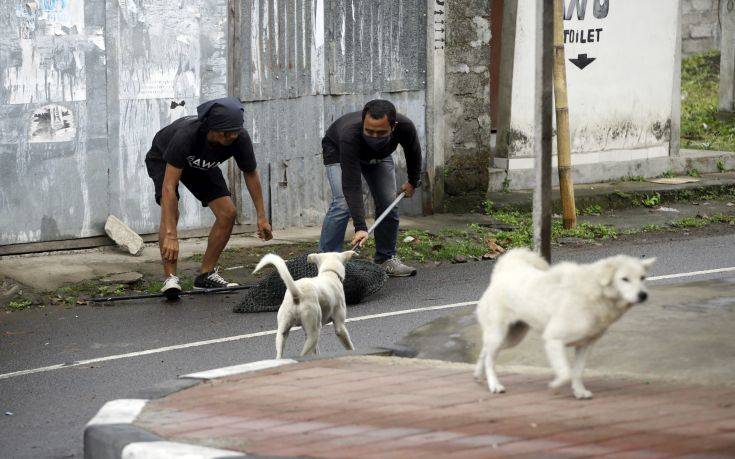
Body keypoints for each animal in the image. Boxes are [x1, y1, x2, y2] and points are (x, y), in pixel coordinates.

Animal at [478, 248, 656, 398]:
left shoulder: (585, 346)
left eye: (642, 278)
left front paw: (579, 392)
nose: (643, 295)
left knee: (485, 351)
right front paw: (554, 385)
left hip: (513, 337)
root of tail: (501, 274)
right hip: (499, 335)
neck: (595, 291)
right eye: (624, 279)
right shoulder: (553, 340)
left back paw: (478, 375)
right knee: (490, 359)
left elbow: (577, 372)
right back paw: (494, 385)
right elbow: (565, 373)